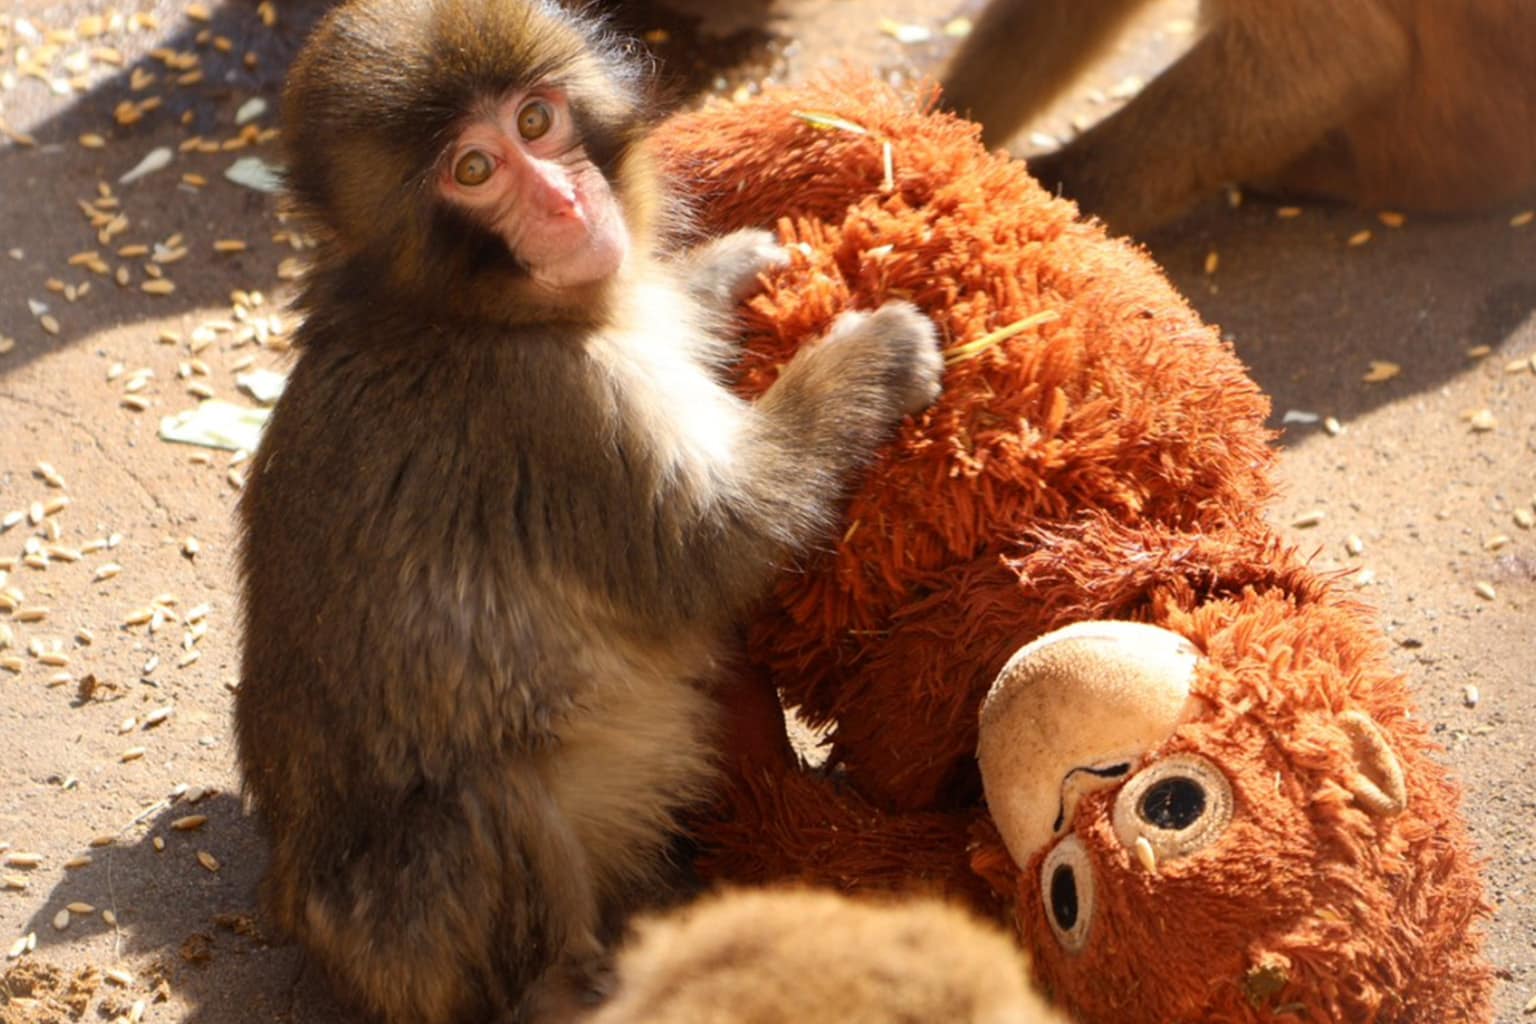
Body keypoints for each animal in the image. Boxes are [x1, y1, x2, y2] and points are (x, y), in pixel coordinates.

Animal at [233, 0, 945, 1021]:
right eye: (474, 170)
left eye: (536, 121)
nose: (566, 205)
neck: (465, 310)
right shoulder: (558, 408)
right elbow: (713, 546)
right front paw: (875, 356)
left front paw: (729, 266)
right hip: (409, 937)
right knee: (483, 802)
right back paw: (581, 981)